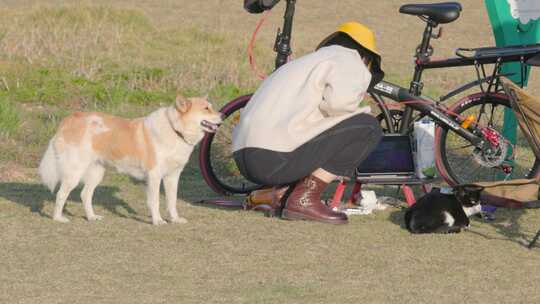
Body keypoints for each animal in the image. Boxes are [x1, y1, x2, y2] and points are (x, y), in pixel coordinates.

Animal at [38, 96, 221, 224]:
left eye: (211, 107)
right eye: (206, 108)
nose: (222, 115)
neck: (175, 130)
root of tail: (69, 120)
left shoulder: (172, 177)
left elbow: (172, 201)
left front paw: (175, 219)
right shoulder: (154, 176)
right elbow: (155, 201)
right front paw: (157, 221)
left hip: (97, 173)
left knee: (85, 195)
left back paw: (91, 217)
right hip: (74, 173)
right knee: (61, 194)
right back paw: (58, 218)